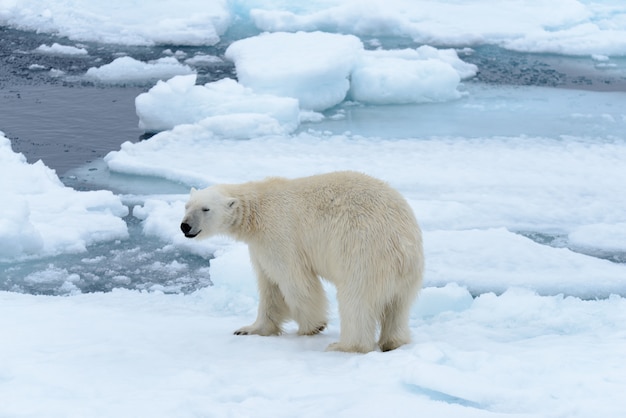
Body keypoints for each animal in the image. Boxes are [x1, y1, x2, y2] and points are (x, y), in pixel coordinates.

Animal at [180, 171, 424, 352]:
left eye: (205, 209)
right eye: (187, 205)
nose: (185, 226)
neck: (257, 210)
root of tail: (403, 245)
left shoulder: (279, 235)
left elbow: (294, 280)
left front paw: (312, 327)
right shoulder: (259, 247)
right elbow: (269, 286)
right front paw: (248, 329)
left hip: (362, 253)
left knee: (356, 301)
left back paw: (344, 346)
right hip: (406, 273)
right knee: (398, 306)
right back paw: (393, 342)